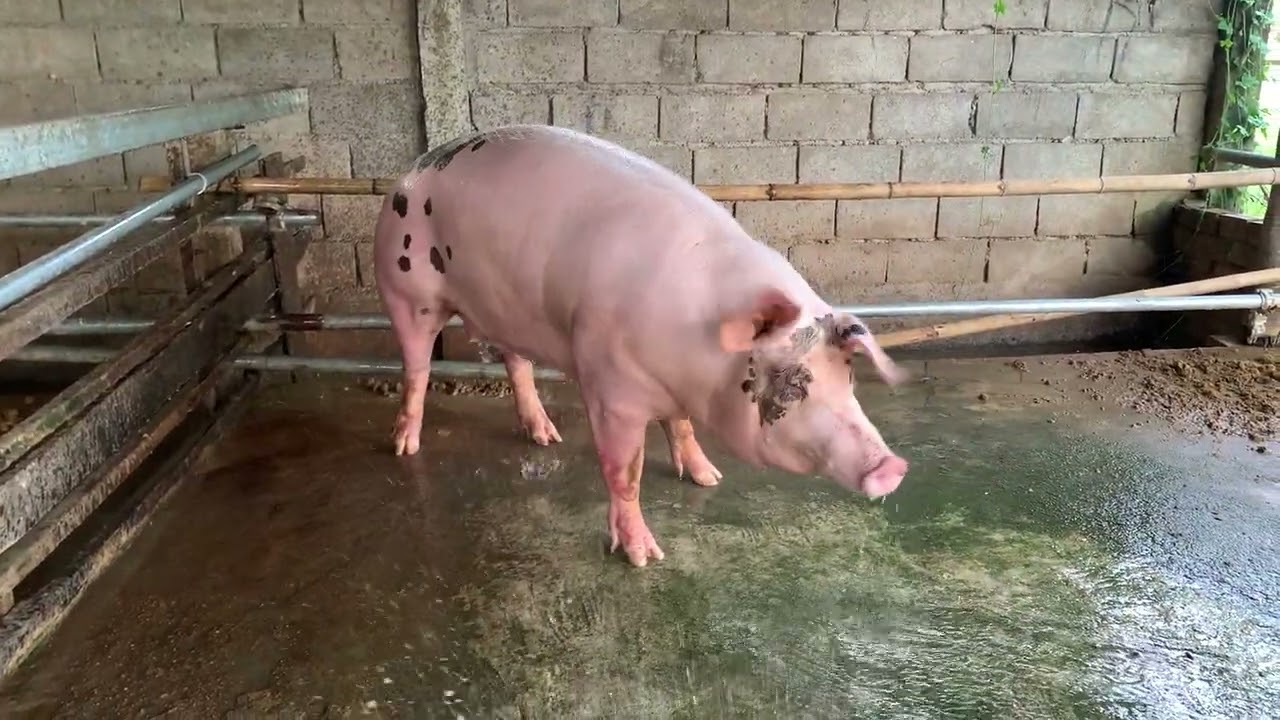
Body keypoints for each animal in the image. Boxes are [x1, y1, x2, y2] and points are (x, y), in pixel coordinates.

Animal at [373, 125, 910, 568]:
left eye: (848, 377)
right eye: (796, 383)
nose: (893, 467)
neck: (694, 347)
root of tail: (413, 170)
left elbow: (683, 426)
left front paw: (709, 477)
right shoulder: (611, 390)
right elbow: (624, 472)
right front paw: (643, 557)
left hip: (506, 309)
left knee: (516, 361)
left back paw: (546, 436)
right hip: (406, 293)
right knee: (416, 368)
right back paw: (405, 445)